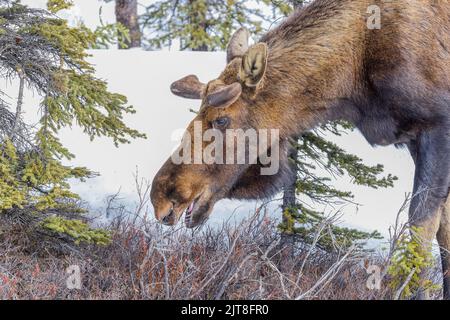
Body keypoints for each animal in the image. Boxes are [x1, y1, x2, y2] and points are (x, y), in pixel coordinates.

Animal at [151, 0, 450, 300]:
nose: (161, 198)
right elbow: (442, 229)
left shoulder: (436, 128)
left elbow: (422, 228)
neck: (352, 79)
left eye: (222, 120)